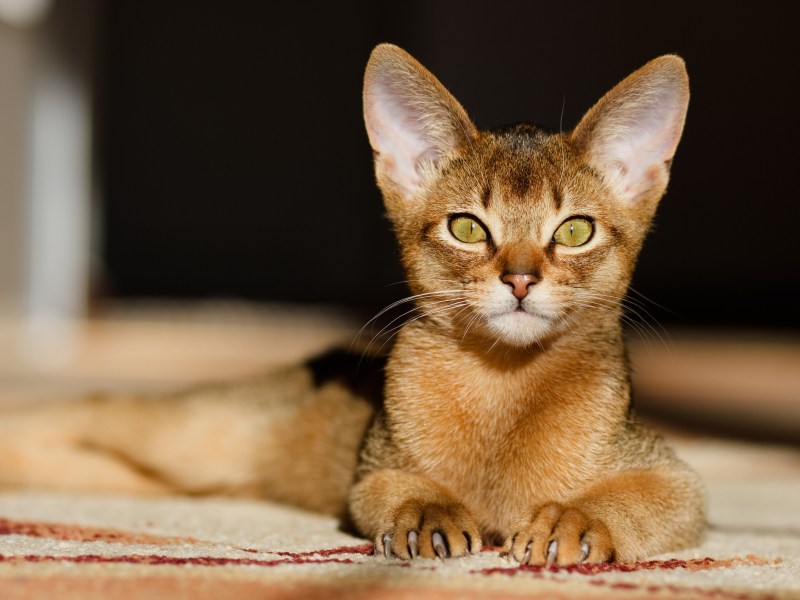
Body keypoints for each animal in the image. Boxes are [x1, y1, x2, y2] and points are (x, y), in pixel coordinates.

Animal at [0, 44, 704, 564]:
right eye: (467, 227)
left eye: (576, 230)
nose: (521, 279)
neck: (506, 391)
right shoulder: (371, 473)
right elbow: (400, 490)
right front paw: (429, 514)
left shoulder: (678, 481)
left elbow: (639, 499)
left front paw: (574, 523)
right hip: (190, 433)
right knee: (81, 411)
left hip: (167, 471)